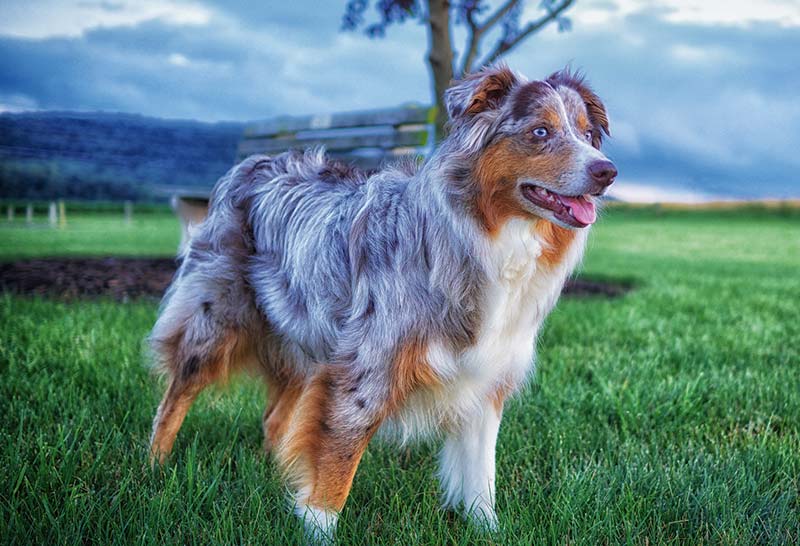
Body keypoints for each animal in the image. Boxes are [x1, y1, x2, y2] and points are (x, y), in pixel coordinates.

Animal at [148, 66, 620, 536]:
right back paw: (154, 468)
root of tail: (251, 163)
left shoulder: (486, 373)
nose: (608, 172)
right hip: (216, 316)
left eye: (586, 134)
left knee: (274, 418)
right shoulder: (367, 369)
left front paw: (489, 529)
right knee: (176, 395)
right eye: (541, 131)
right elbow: (338, 462)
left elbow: (480, 473)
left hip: (305, 337)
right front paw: (318, 528)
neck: (488, 236)